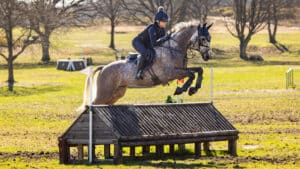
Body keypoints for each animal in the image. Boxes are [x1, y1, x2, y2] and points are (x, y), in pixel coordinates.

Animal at [79, 21, 211, 108]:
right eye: (203, 39)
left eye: (209, 38)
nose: (208, 56)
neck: (174, 49)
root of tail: (103, 68)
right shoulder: (170, 74)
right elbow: (191, 74)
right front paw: (182, 89)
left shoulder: (181, 70)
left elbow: (198, 70)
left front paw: (193, 89)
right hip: (104, 92)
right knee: (92, 104)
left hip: (116, 93)